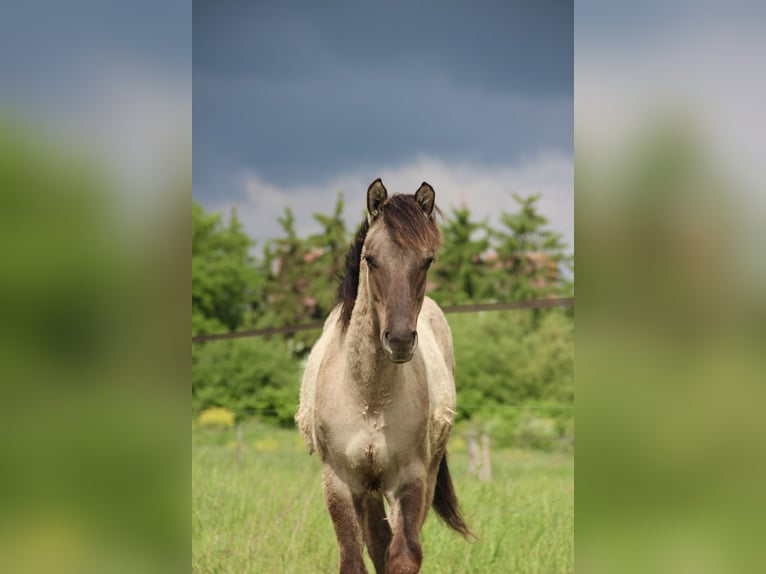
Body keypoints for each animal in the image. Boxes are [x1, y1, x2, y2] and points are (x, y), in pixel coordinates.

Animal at [296, 179, 473, 574]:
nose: (401, 339)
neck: (368, 395)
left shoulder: (409, 477)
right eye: (371, 259)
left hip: (423, 474)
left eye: (427, 260)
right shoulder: (340, 481)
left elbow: (404, 554)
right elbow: (354, 559)